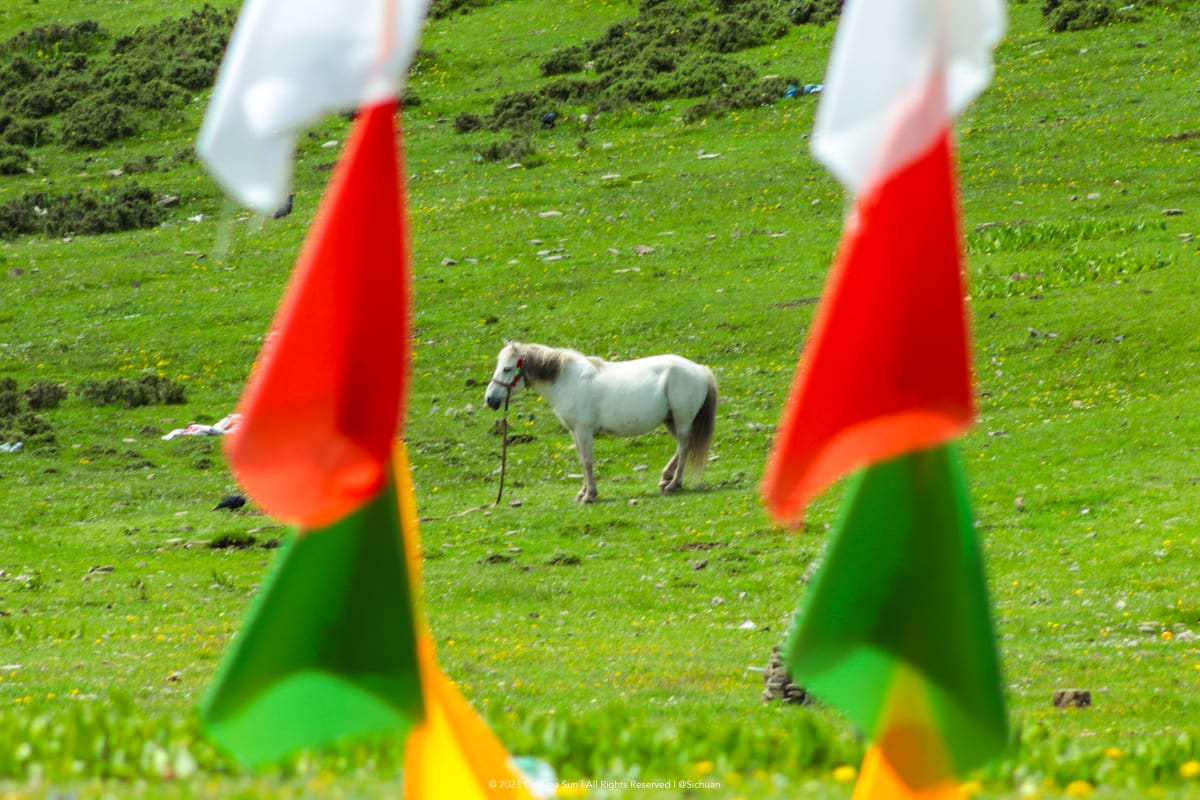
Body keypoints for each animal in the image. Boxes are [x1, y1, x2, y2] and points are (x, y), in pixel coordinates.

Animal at [485, 341, 718, 503]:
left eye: (507, 368)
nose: (490, 399)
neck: (566, 380)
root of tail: (700, 369)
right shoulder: (574, 431)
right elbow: (582, 460)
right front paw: (583, 493)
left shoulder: (583, 430)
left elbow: (588, 461)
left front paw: (590, 495)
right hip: (671, 420)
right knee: (682, 446)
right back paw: (666, 478)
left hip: (682, 418)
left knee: (685, 446)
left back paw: (673, 484)